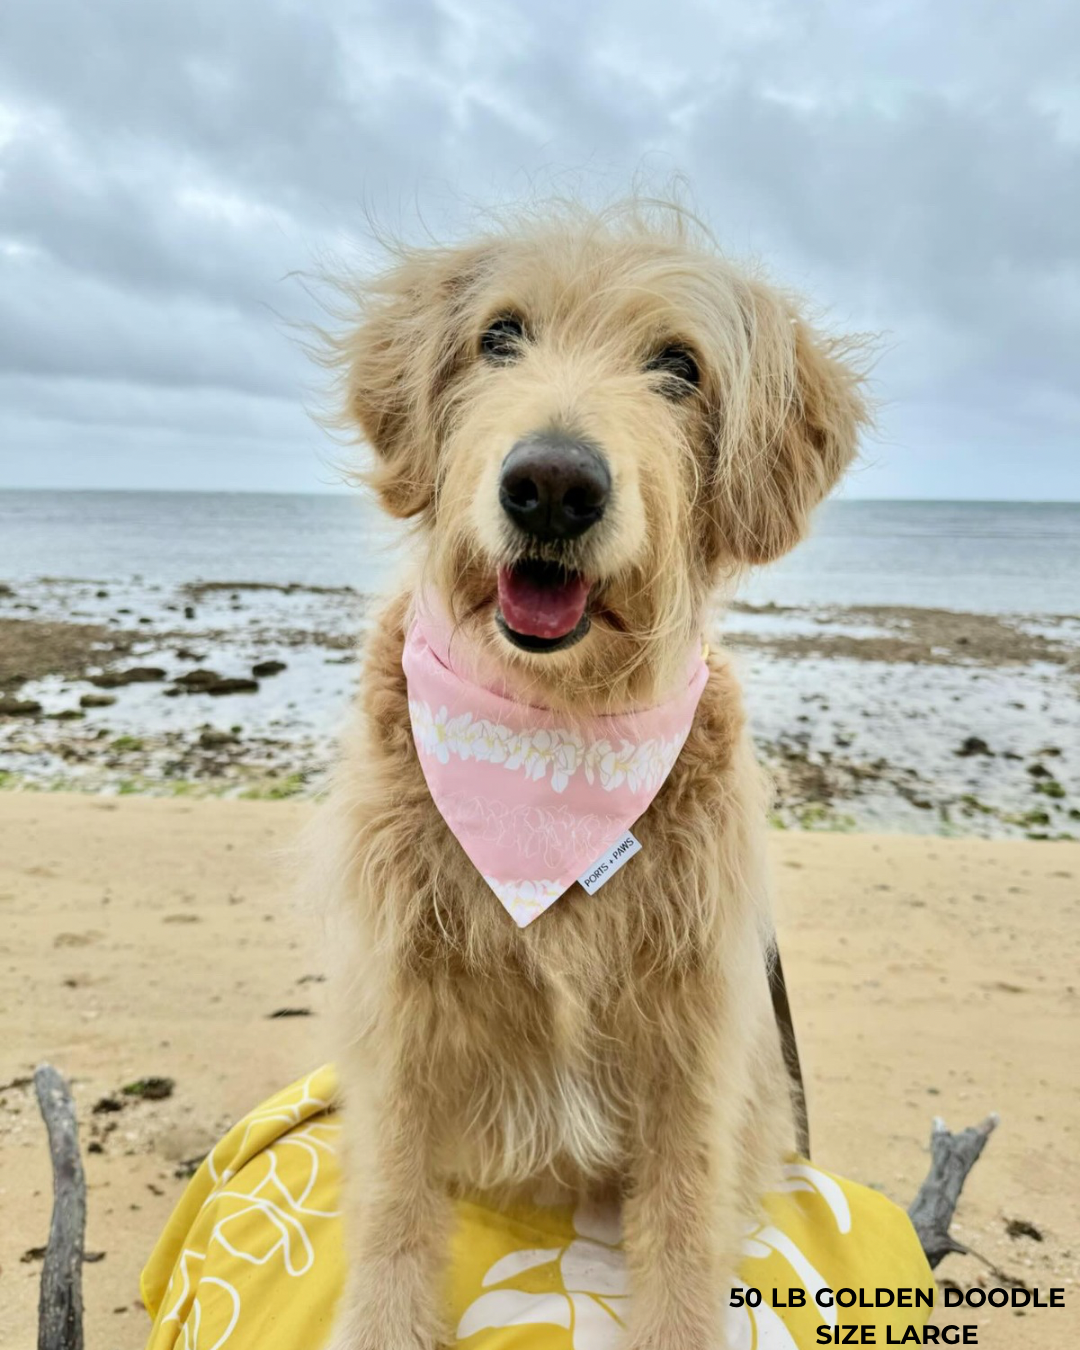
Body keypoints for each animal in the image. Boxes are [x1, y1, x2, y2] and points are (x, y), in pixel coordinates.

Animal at [314, 202, 869, 1350]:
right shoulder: (398, 1012)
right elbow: (393, 1205)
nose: (553, 487)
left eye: (679, 365)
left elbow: (685, 1216)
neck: (553, 738)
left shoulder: (698, 1035)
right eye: (499, 335)